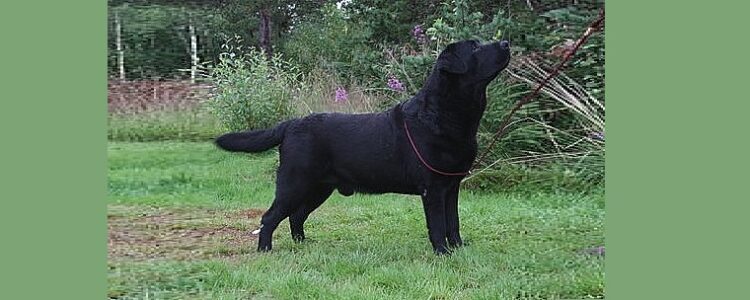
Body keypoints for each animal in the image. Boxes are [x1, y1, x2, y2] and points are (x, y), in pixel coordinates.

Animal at [217, 39, 512, 253]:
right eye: (475, 48)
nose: (506, 42)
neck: (442, 114)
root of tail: (290, 124)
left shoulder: (451, 186)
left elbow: (454, 223)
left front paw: (459, 248)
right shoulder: (433, 189)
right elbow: (438, 225)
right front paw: (443, 252)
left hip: (318, 188)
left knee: (296, 216)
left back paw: (303, 243)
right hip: (294, 183)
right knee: (270, 217)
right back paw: (265, 249)